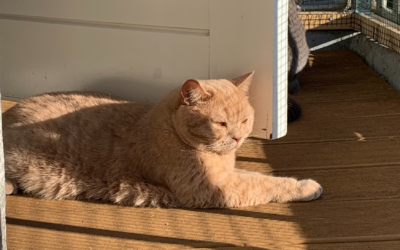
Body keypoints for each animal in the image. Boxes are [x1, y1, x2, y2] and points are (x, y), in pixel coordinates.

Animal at [2, 73, 322, 209]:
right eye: (220, 123)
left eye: (245, 120)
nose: (239, 136)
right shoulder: (213, 187)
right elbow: (266, 183)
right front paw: (306, 187)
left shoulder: (228, 175)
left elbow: (256, 176)